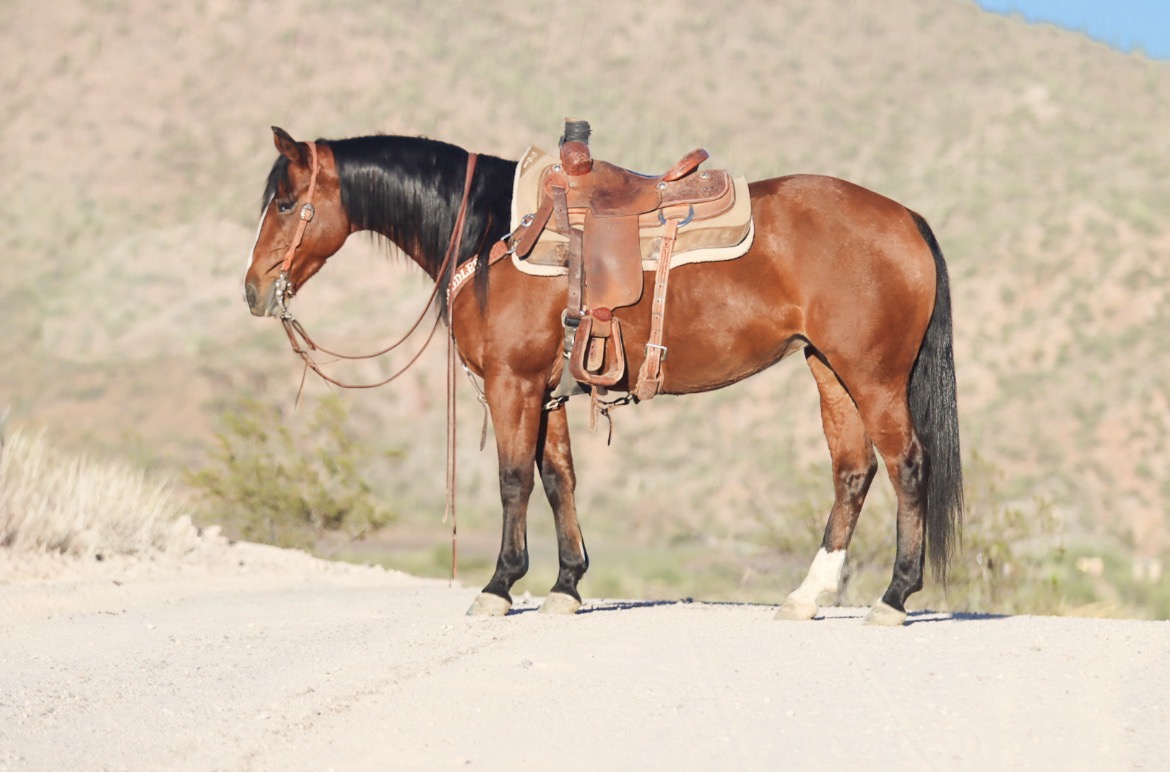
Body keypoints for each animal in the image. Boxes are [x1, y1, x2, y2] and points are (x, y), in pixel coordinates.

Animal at [243, 126, 963, 626]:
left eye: (283, 202)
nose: (252, 291)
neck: (491, 232)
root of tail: (906, 218)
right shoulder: (548, 394)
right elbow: (559, 479)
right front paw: (565, 586)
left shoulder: (512, 385)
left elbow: (512, 480)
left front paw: (499, 586)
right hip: (829, 371)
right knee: (853, 472)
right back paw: (807, 597)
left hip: (873, 377)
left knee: (907, 466)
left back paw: (894, 598)